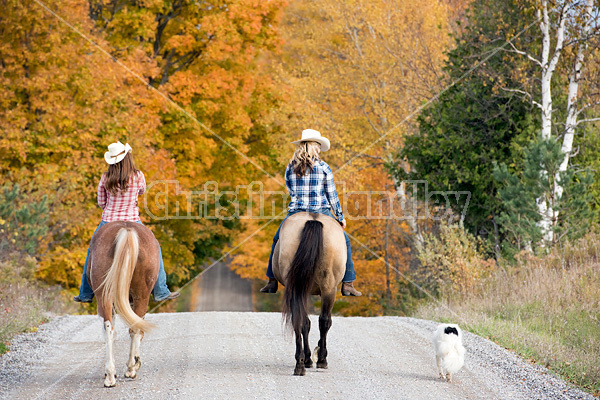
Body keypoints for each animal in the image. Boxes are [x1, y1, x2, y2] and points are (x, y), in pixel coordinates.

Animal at [88, 222, 161, 388]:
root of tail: (127, 230)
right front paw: (135, 362)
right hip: (140, 297)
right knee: (133, 328)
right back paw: (130, 369)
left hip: (105, 296)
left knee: (109, 329)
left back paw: (110, 376)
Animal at [274, 212, 344, 376]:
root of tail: (313, 220)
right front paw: (316, 357)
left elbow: (305, 323)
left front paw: (308, 358)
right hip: (329, 288)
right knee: (324, 321)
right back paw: (321, 360)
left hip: (301, 287)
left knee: (300, 321)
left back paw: (300, 364)